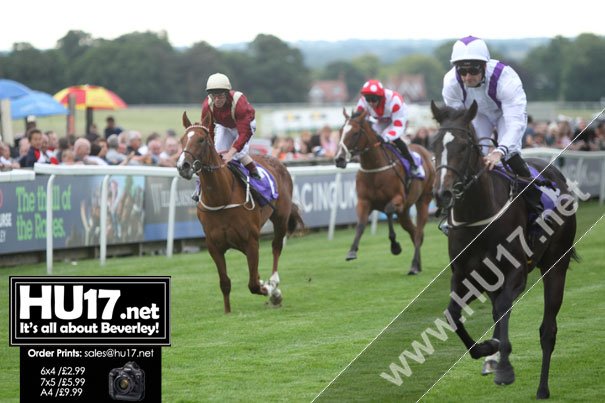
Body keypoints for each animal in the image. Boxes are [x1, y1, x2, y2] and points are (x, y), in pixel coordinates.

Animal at [177, 112, 304, 314]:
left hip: (280, 218)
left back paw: (274, 283)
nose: (184, 166)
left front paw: (271, 291)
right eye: (182, 139)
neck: (221, 198)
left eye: (201, 139)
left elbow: (254, 284)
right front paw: (228, 311)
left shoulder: (251, 242)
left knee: (276, 247)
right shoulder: (214, 246)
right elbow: (225, 283)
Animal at [332, 109, 432, 274]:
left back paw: (413, 265)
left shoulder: (398, 199)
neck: (375, 169)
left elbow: (389, 210)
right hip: (405, 212)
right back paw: (418, 265)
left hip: (423, 201)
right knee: (414, 231)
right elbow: (361, 224)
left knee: (418, 233)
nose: (339, 159)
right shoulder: (364, 201)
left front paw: (395, 246)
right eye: (341, 131)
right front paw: (352, 251)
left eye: (355, 133)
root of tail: (426, 152)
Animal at [430, 99, 576, 400]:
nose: (442, 194)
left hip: (556, 264)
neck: (479, 216)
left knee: (548, 329)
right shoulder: (465, 275)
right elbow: (453, 314)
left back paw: (542, 388)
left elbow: (503, 309)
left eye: (464, 145)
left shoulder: (515, 273)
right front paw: (488, 350)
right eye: (434, 144)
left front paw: (503, 366)